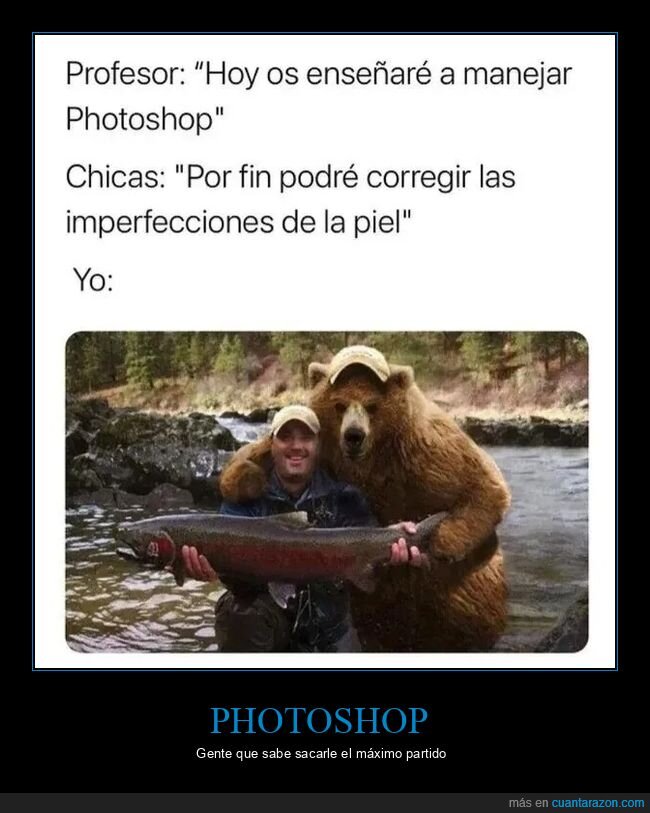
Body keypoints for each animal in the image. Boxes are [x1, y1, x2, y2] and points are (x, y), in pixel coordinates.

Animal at [219, 345, 511, 652]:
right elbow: (246, 458)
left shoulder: (427, 453)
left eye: (372, 405)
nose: (354, 435)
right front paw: (248, 479)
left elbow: (484, 487)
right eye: (340, 405)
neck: (370, 463)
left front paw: (441, 542)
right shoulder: (328, 448)